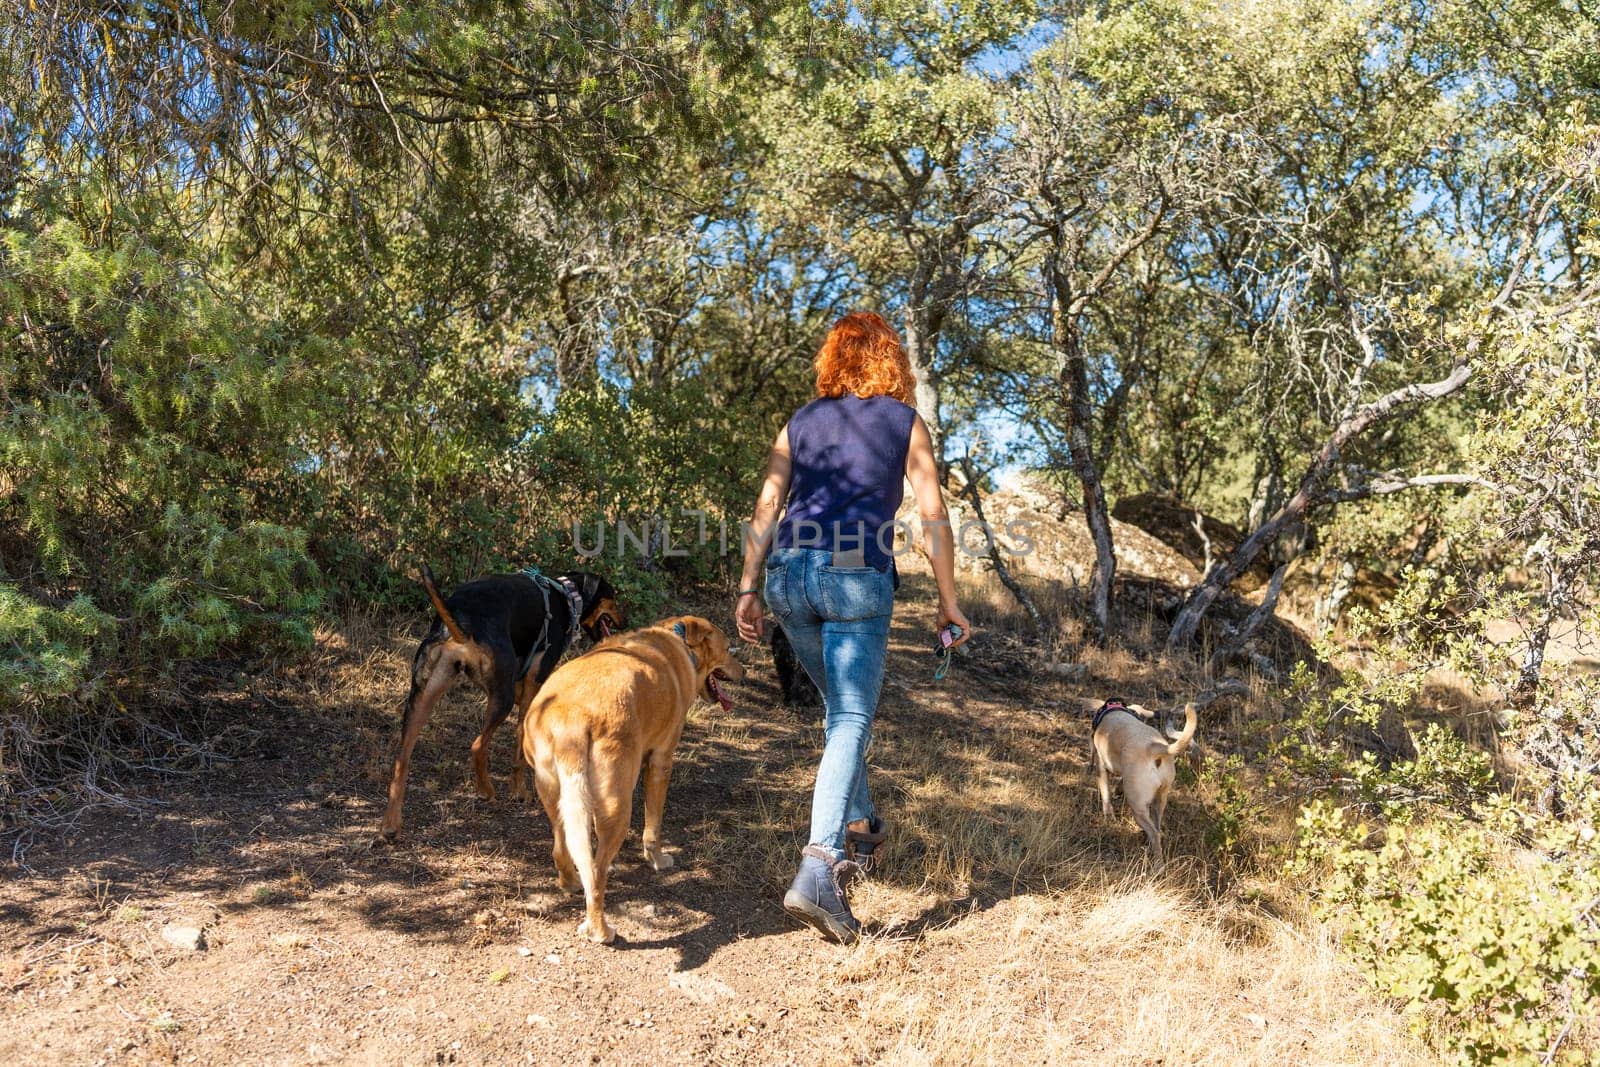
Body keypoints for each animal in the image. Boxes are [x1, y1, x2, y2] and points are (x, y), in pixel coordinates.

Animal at [376, 566, 624, 844]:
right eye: (613, 597)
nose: (625, 622)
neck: (568, 595)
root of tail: (461, 616)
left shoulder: (518, 685)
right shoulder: (532, 685)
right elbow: (520, 746)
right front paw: (519, 791)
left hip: (423, 697)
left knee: (401, 762)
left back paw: (391, 824)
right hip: (500, 699)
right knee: (477, 746)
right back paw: (485, 790)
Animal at [518, 614, 742, 947]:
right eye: (728, 649)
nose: (744, 671)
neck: (678, 641)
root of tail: (571, 715)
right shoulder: (661, 762)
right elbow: (653, 826)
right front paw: (657, 859)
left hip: (553, 792)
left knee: (564, 850)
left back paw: (571, 883)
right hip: (617, 805)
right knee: (596, 875)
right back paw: (601, 930)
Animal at [1088, 700, 1203, 870]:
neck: (1114, 710)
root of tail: (1156, 748)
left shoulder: (1101, 767)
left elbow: (1106, 796)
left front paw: (1108, 817)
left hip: (1137, 807)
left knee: (1154, 834)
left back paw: (1158, 866)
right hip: (1159, 801)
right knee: (1157, 828)